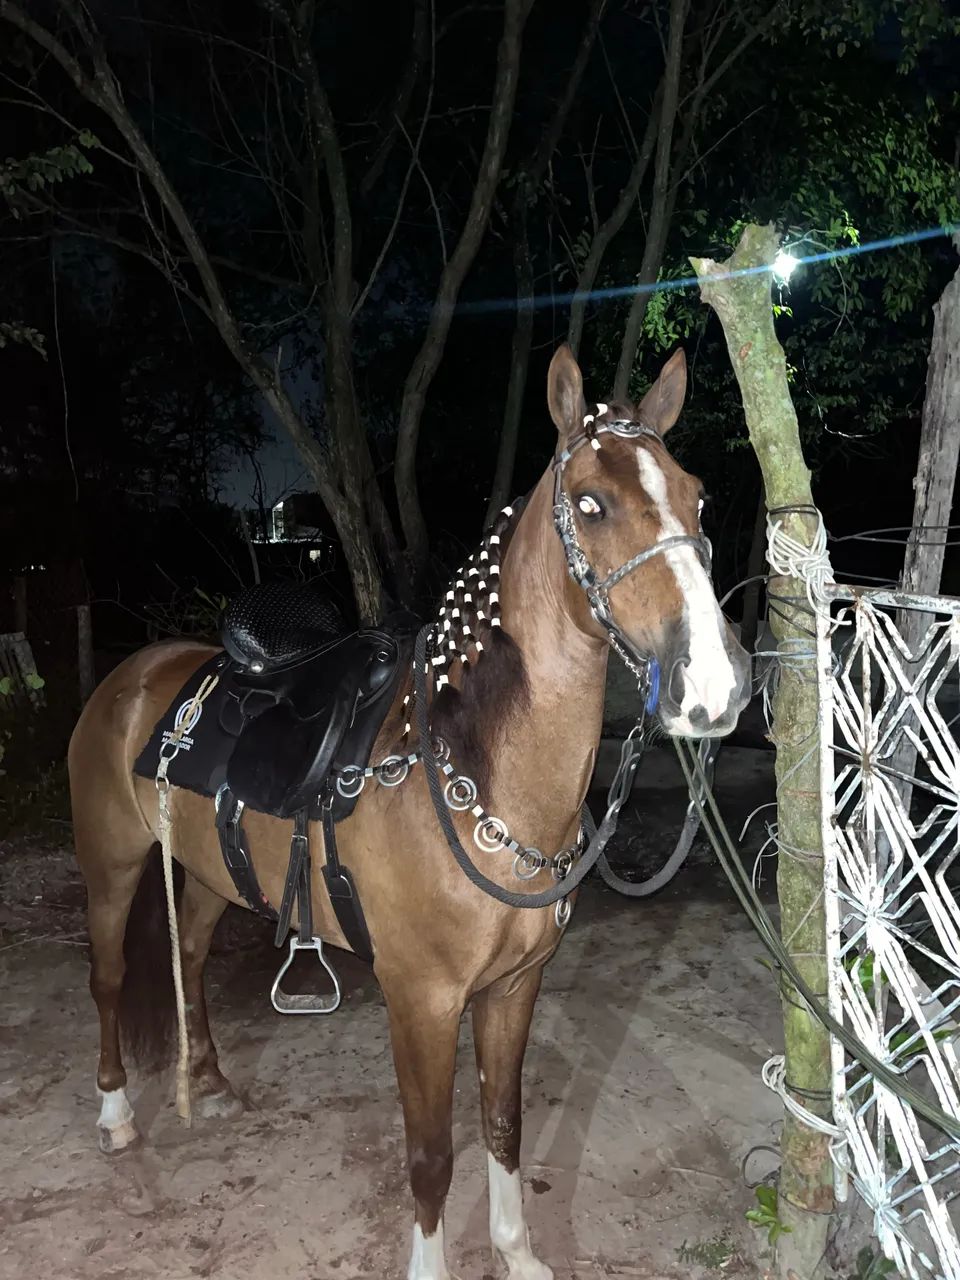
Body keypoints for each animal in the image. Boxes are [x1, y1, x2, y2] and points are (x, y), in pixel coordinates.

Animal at [68, 343, 750, 1280]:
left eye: (697, 496)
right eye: (590, 503)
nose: (713, 685)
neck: (474, 783)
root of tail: (132, 677)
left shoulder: (513, 989)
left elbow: (503, 1124)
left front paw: (517, 1255)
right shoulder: (421, 1002)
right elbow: (431, 1159)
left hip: (210, 873)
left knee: (195, 956)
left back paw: (206, 1081)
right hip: (110, 863)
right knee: (108, 980)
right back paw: (116, 1116)